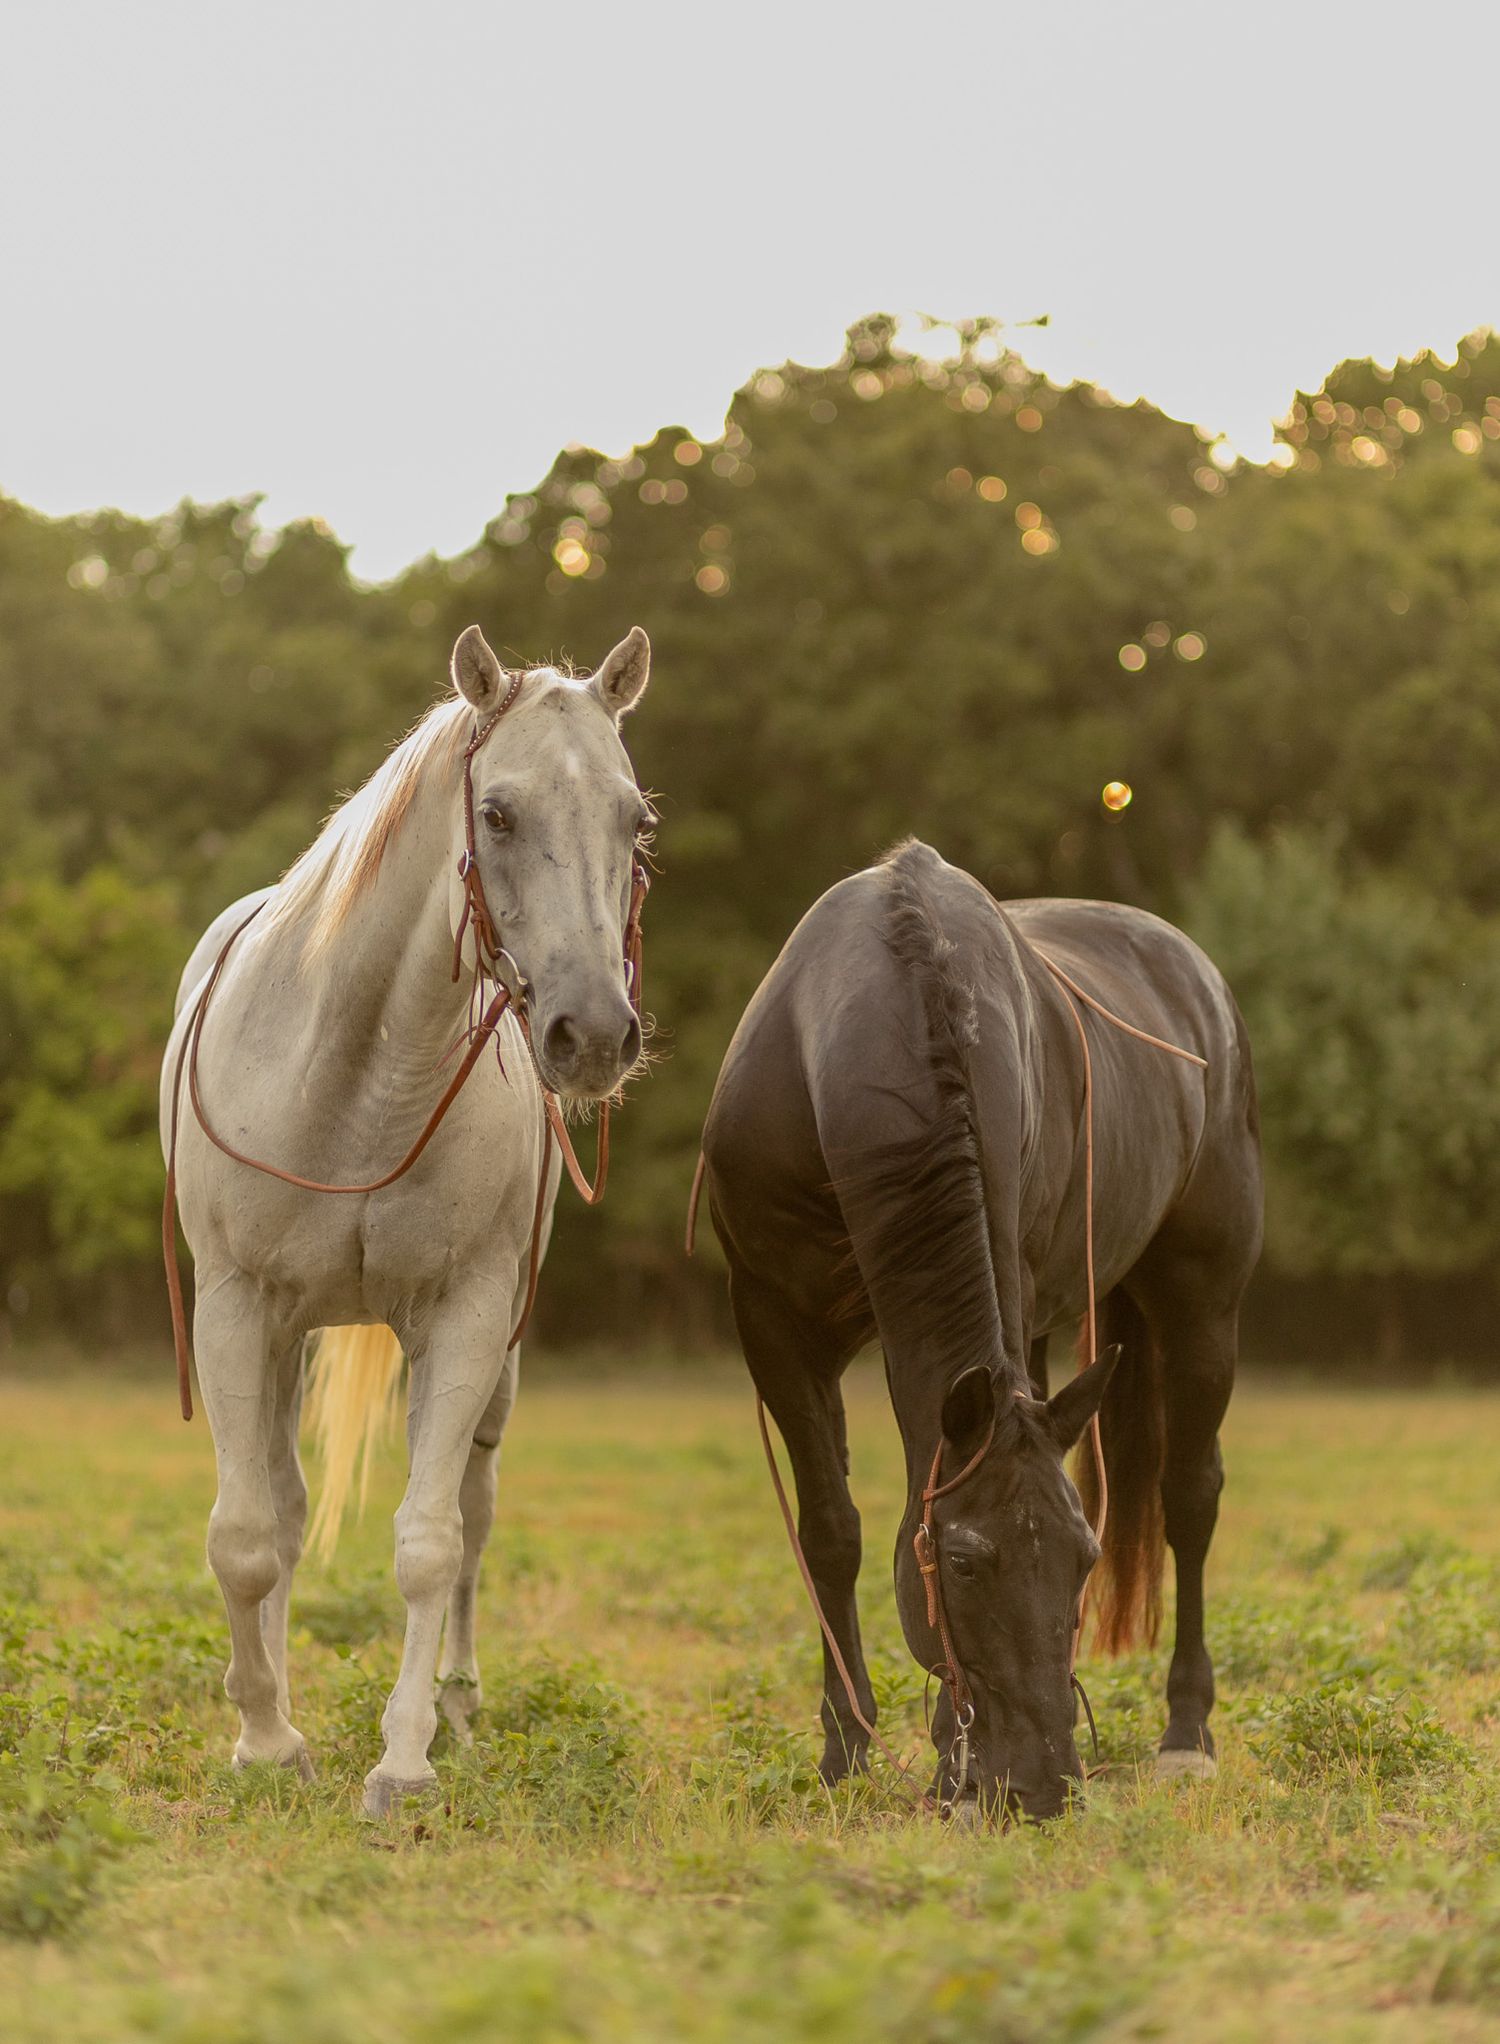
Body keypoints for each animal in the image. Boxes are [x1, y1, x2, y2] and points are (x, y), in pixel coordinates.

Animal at [159, 623, 654, 1816]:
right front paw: (265, 1739)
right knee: (285, 1512)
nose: (594, 1035)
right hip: (283, 1339)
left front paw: (405, 1758)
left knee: (472, 1512)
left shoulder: (468, 1317)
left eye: (637, 820)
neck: (357, 1076)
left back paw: (461, 1705)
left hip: (496, 1358)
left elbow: (431, 1541)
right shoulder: (237, 1309)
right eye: (499, 814)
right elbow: (247, 1536)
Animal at [698, 839, 1262, 1820]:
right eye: (963, 1564)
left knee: (1190, 1499)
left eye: (1082, 1559)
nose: (1043, 1785)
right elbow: (831, 1529)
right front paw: (847, 1747)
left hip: (1203, 1307)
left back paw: (1186, 1735)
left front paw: (943, 1765)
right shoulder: (774, 1324)